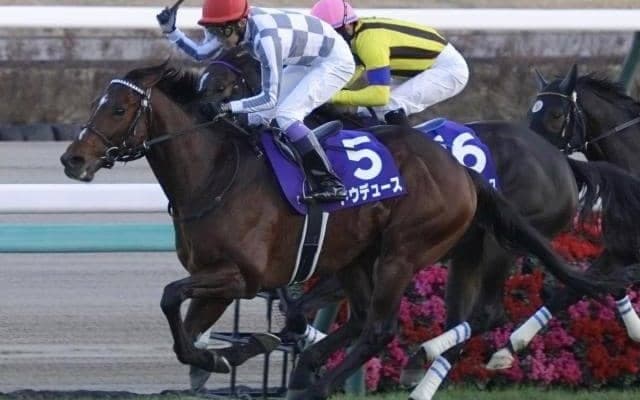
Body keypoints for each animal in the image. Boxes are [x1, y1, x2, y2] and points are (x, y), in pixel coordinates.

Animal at [59, 60, 634, 400]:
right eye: (95, 105)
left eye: (117, 108)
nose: (72, 159)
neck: (217, 173)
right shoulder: (223, 280)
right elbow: (188, 333)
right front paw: (230, 354)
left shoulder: (241, 276)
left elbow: (170, 296)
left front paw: (251, 350)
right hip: (375, 255)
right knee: (379, 321)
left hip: (420, 251)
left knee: (390, 327)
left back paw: (339, 378)